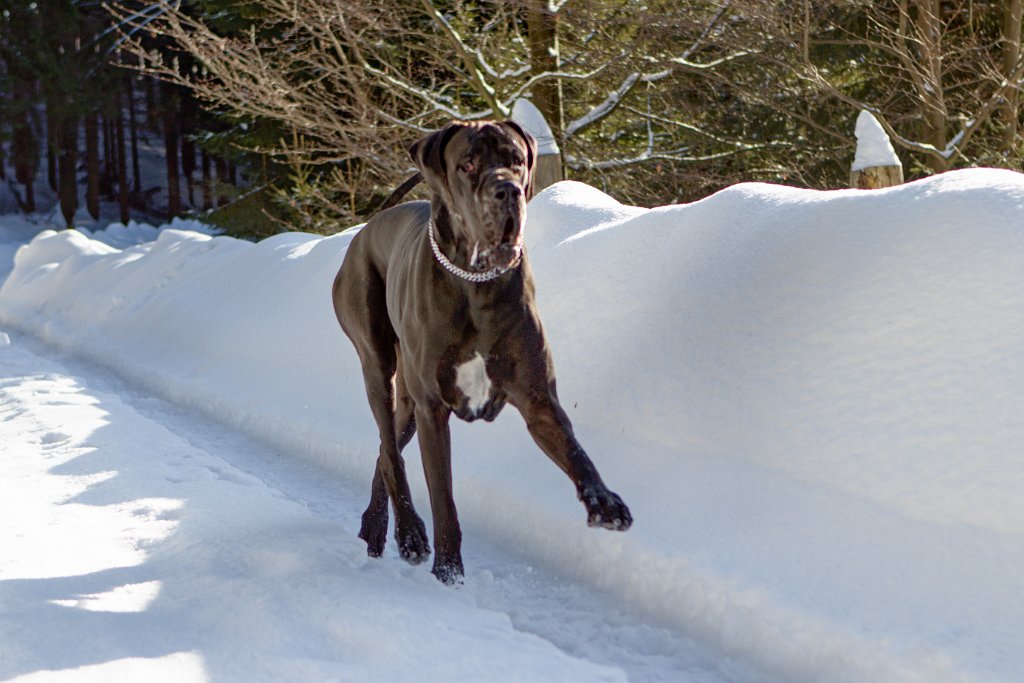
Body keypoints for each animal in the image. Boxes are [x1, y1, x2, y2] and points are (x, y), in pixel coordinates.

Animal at [331, 121, 630, 581]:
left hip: (408, 405)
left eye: (517, 160)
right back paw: (408, 533)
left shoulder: (538, 399)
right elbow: (444, 500)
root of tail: (363, 231)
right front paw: (448, 572)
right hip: (378, 365)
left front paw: (603, 501)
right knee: (390, 452)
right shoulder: (433, 408)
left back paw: (376, 527)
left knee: (386, 450)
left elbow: (577, 452)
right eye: (468, 164)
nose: (506, 190)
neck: (477, 281)